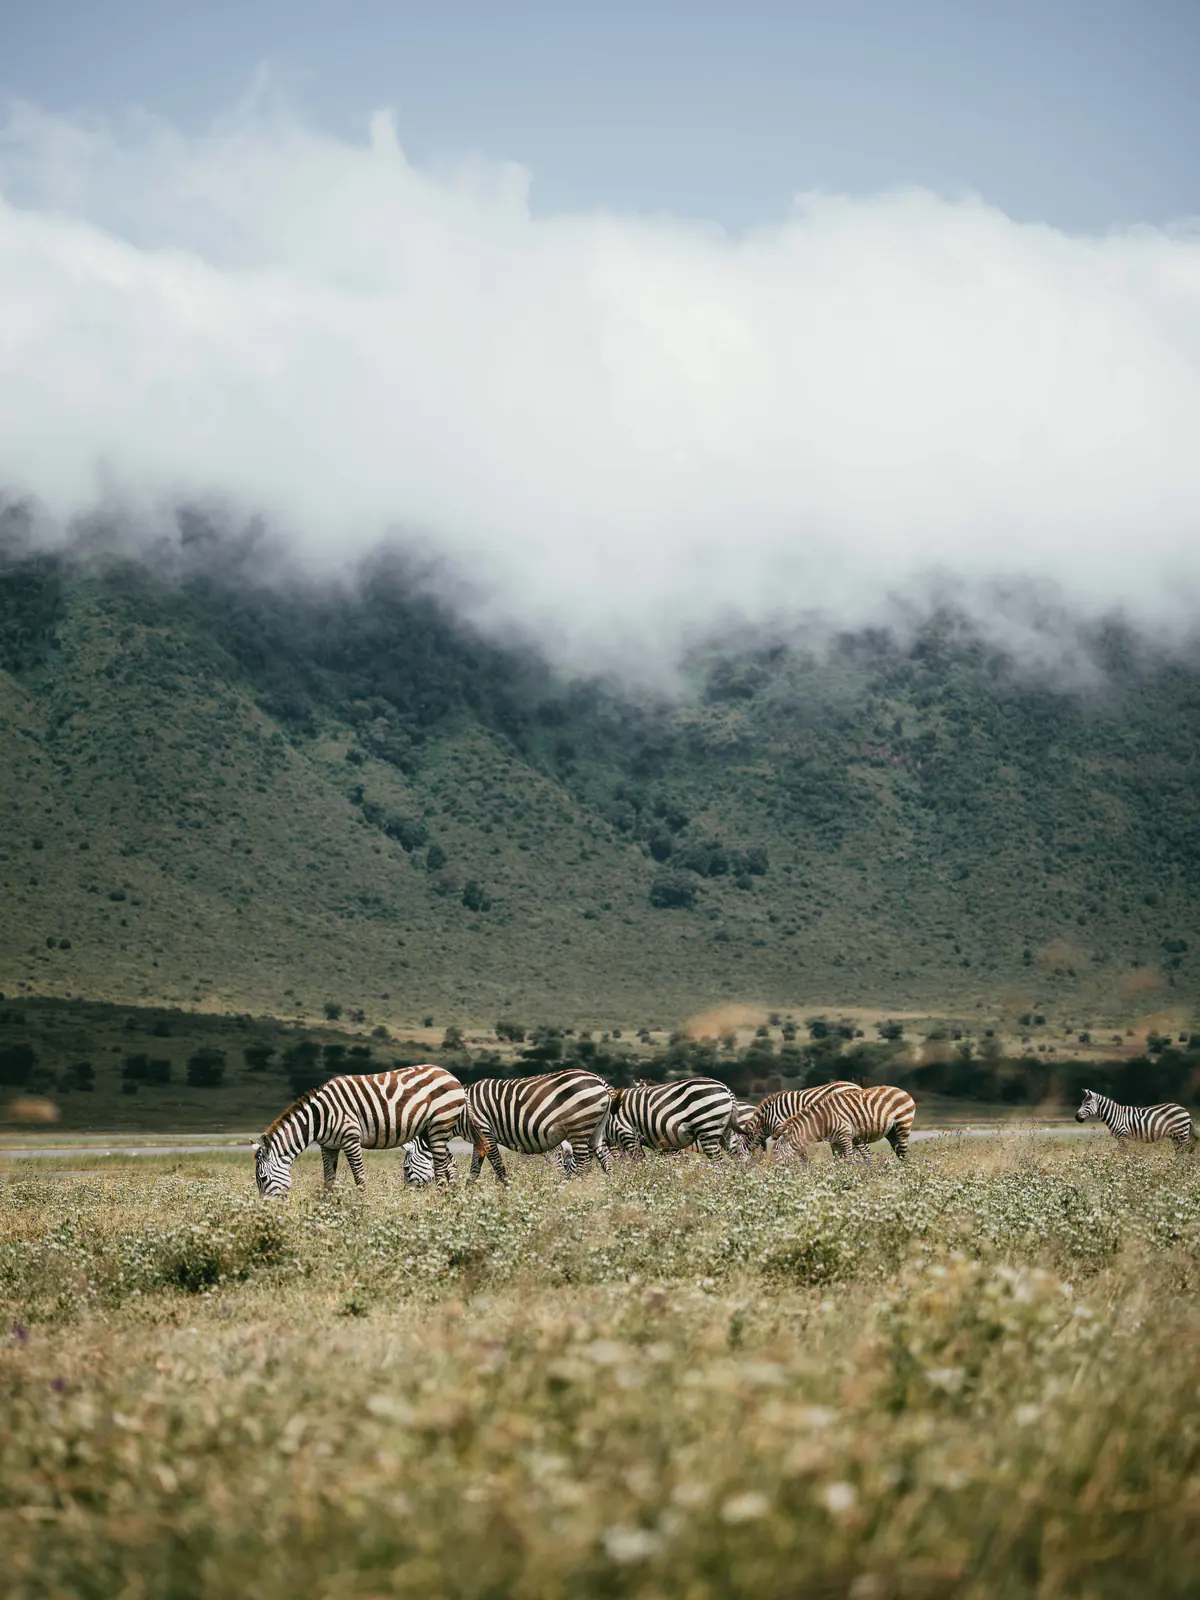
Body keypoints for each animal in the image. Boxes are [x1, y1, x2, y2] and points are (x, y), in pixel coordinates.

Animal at [253, 1064, 465, 1195]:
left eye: (263, 1178)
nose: (266, 1210)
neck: (319, 1117)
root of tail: (449, 1074)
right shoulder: (328, 1146)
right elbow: (329, 1179)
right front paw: (327, 1208)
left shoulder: (351, 1139)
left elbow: (359, 1178)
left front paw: (362, 1208)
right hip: (430, 1131)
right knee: (450, 1163)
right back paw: (450, 1198)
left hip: (439, 1125)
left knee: (440, 1166)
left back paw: (439, 1198)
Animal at [459, 1069, 615, 1186]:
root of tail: (600, 1080)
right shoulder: (478, 1139)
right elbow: (474, 1170)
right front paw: (468, 1195)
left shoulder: (484, 1130)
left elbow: (498, 1167)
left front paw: (506, 1191)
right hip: (596, 1130)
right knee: (605, 1158)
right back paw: (610, 1190)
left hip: (579, 1128)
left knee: (583, 1164)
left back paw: (575, 1190)